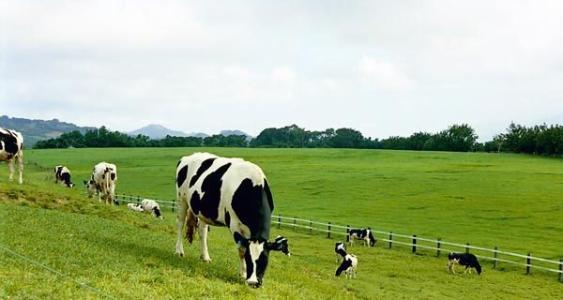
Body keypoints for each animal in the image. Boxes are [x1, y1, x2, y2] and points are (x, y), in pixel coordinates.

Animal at [174, 152, 276, 288]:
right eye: (249, 259)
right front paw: (243, 274)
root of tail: (188, 156)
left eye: (264, 260)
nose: (253, 283)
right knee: (180, 224)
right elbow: (242, 249)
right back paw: (179, 251)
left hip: (202, 210)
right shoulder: (234, 224)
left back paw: (205, 257)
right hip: (181, 199)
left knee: (202, 231)